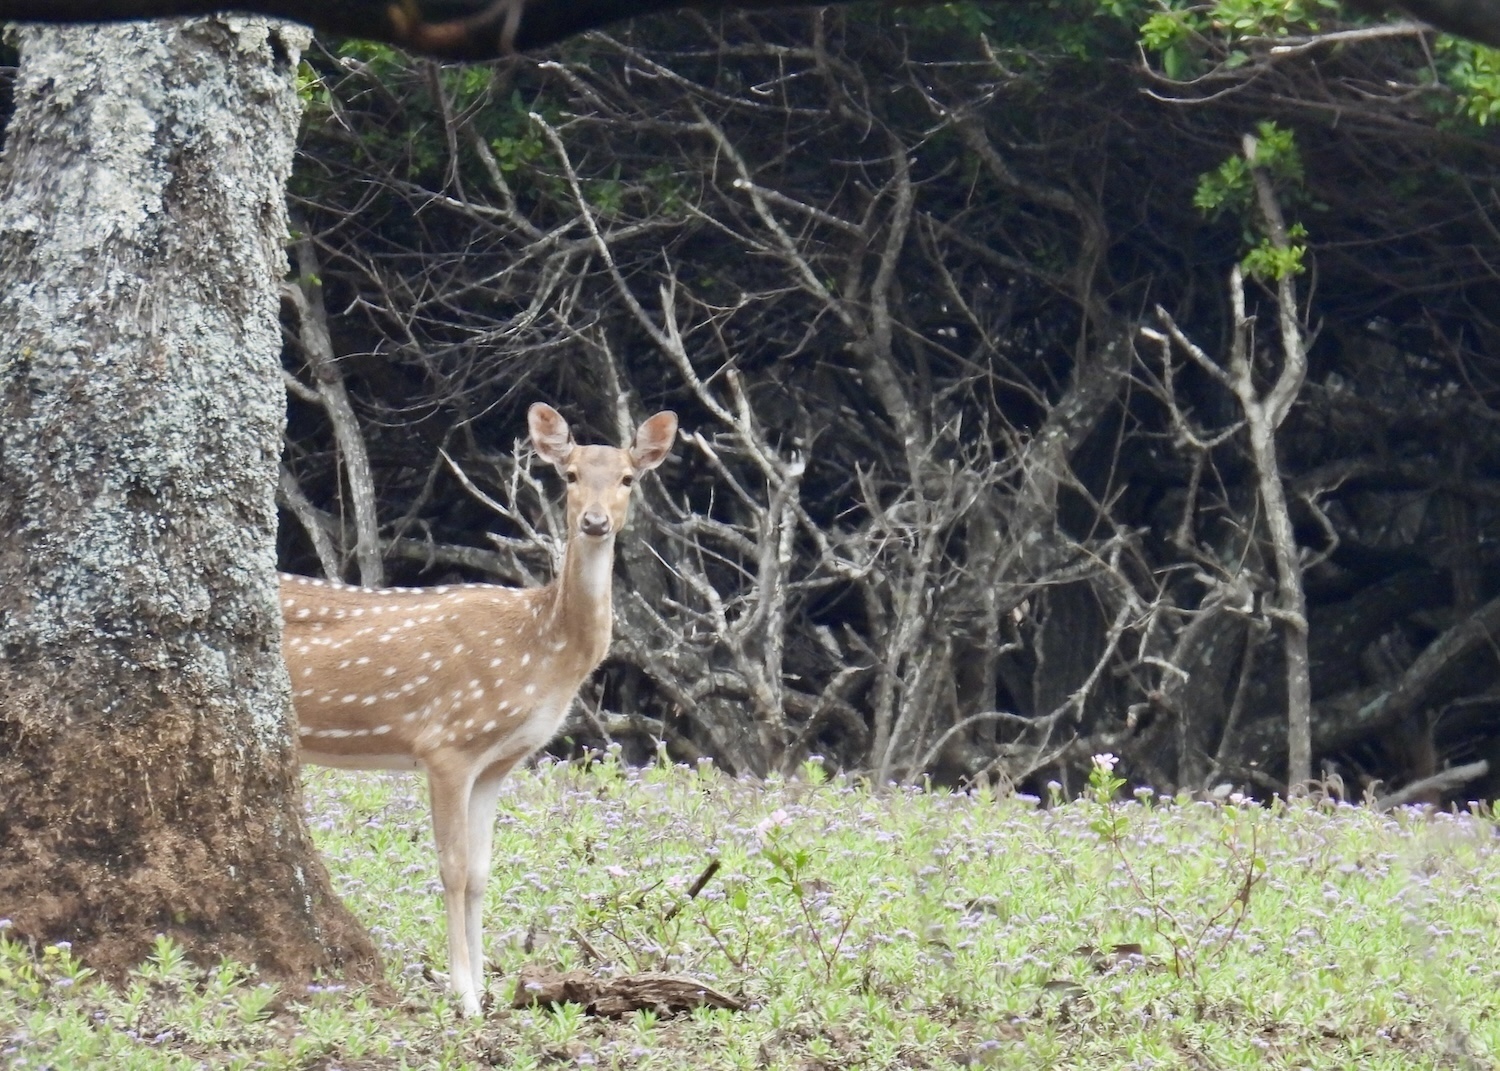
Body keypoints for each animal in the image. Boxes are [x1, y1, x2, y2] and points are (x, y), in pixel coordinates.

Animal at [280, 402, 678, 1017]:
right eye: (569, 475)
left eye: (628, 479)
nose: (594, 521)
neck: (541, 650)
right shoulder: (446, 744)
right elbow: (453, 868)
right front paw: (463, 996)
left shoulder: (497, 763)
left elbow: (483, 872)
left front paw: (487, 988)